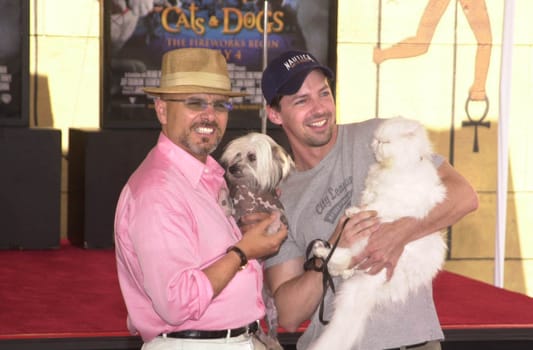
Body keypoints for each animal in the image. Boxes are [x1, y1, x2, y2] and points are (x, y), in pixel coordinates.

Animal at [308, 117, 444, 350]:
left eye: (386, 142)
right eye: (377, 139)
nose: (378, 143)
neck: (394, 167)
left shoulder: (391, 201)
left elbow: (372, 208)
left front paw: (353, 212)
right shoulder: (373, 192)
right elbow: (368, 202)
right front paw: (354, 211)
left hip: (369, 241)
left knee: (344, 258)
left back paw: (321, 250)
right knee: (344, 263)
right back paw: (325, 254)